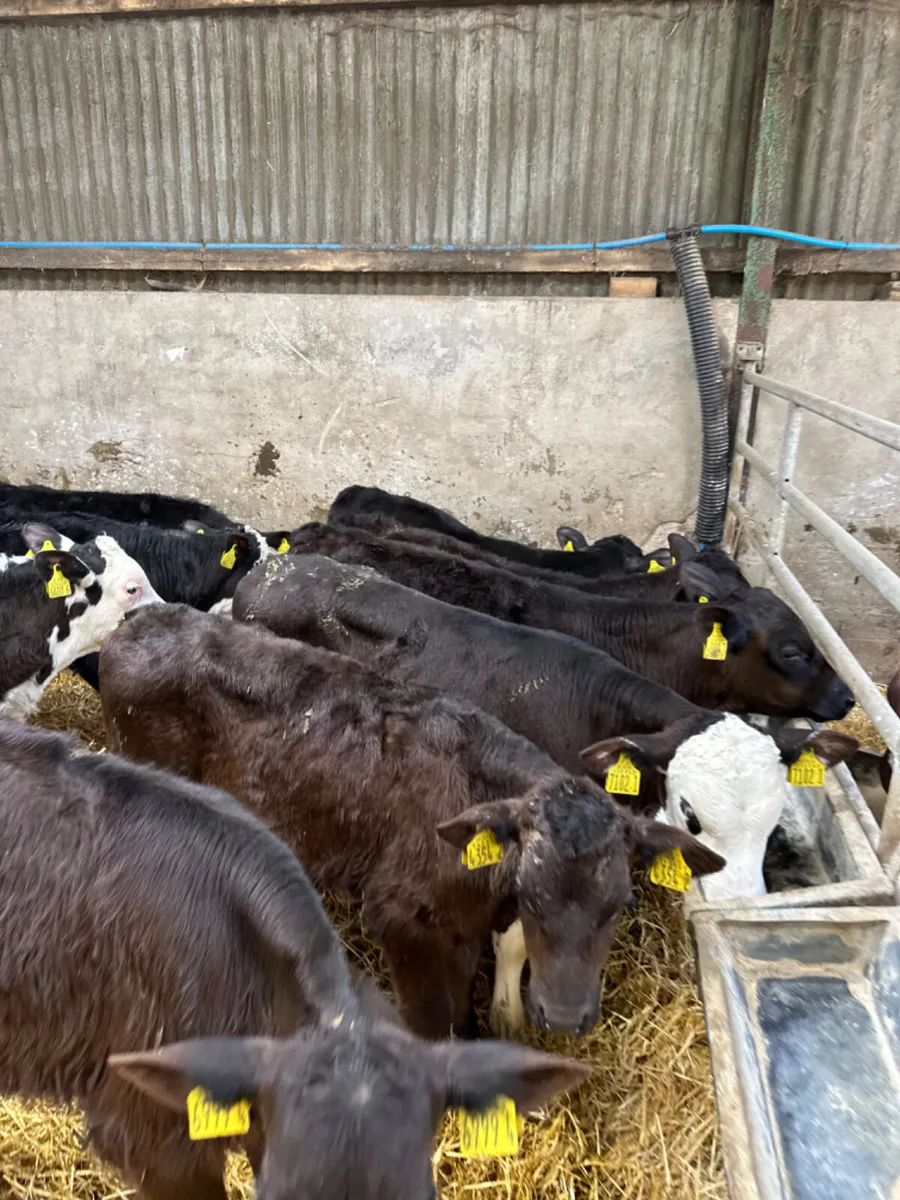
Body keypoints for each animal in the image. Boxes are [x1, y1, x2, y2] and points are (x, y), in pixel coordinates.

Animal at [100, 604, 724, 1040]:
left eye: (618, 904)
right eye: (531, 896)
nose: (567, 1018)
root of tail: (140, 620)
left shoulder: (463, 924)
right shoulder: (402, 921)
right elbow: (432, 1016)